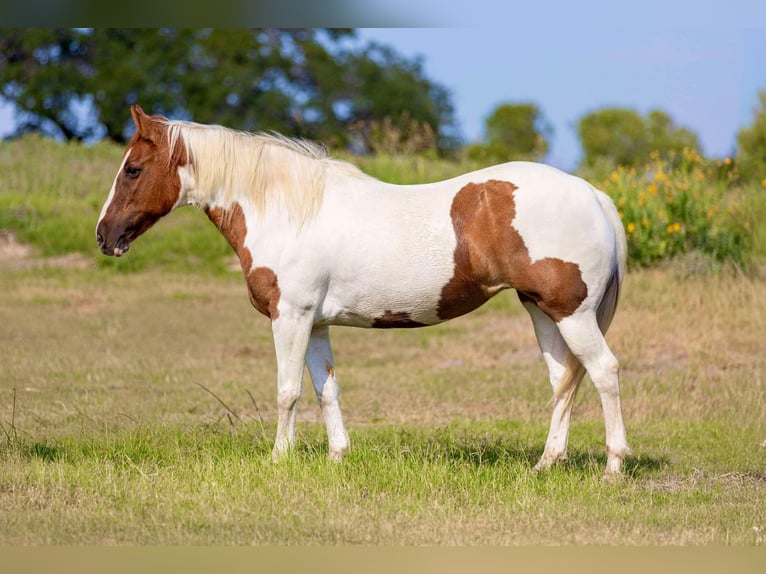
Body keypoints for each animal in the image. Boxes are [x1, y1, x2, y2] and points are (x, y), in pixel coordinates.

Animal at [99, 107, 632, 476]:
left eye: (132, 169)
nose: (105, 236)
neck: (290, 211)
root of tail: (592, 194)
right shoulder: (314, 324)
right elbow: (325, 389)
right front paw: (337, 456)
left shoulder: (290, 317)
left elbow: (287, 391)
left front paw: (279, 459)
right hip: (543, 312)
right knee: (564, 379)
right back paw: (546, 463)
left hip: (572, 314)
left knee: (603, 372)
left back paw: (613, 465)